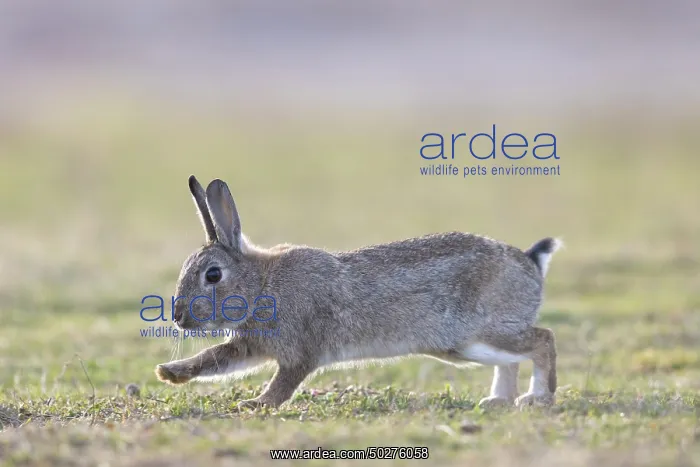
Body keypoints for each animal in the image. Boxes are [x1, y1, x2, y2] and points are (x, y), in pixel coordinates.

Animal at [155, 175, 561, 410]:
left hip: (479, 331)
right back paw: (498, 401)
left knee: (543, 339)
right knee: (511, 360)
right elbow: (214, 359)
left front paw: (256, 404)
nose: (178, 318)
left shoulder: (300, 351)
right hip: (465, 347)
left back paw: (537, 397)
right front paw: (169, 373)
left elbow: (283, 383)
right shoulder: (252, 345)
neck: (262, 285)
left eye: (213, 275)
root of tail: (530, 263)